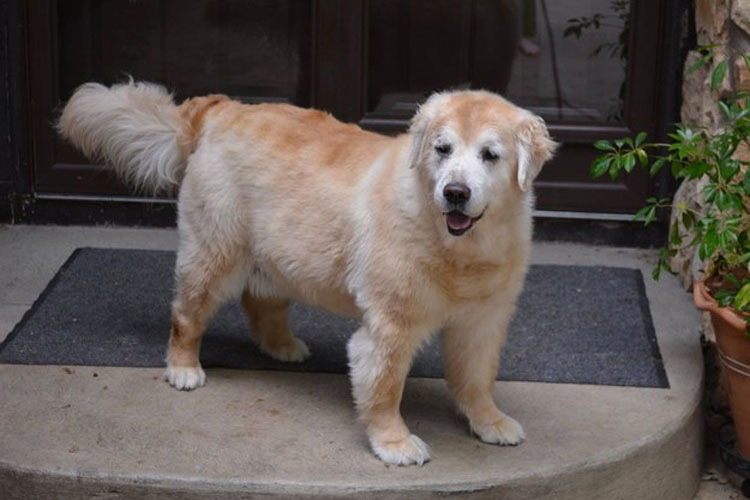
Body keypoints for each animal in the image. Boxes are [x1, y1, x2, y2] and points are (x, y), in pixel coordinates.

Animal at [58, 81, 560, 464]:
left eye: (490, 155)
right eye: (442, 149)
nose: (455, 192)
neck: (459, 248)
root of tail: (224, 107)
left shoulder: (483, 320)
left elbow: (478, 378)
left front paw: (490, 421)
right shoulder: (391, 326)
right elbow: (384, 386)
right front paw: (394, 443)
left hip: (281, 251)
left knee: (261, 301)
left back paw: (283, 347)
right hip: (214, 252)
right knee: (187, 314)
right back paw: (184, 367)